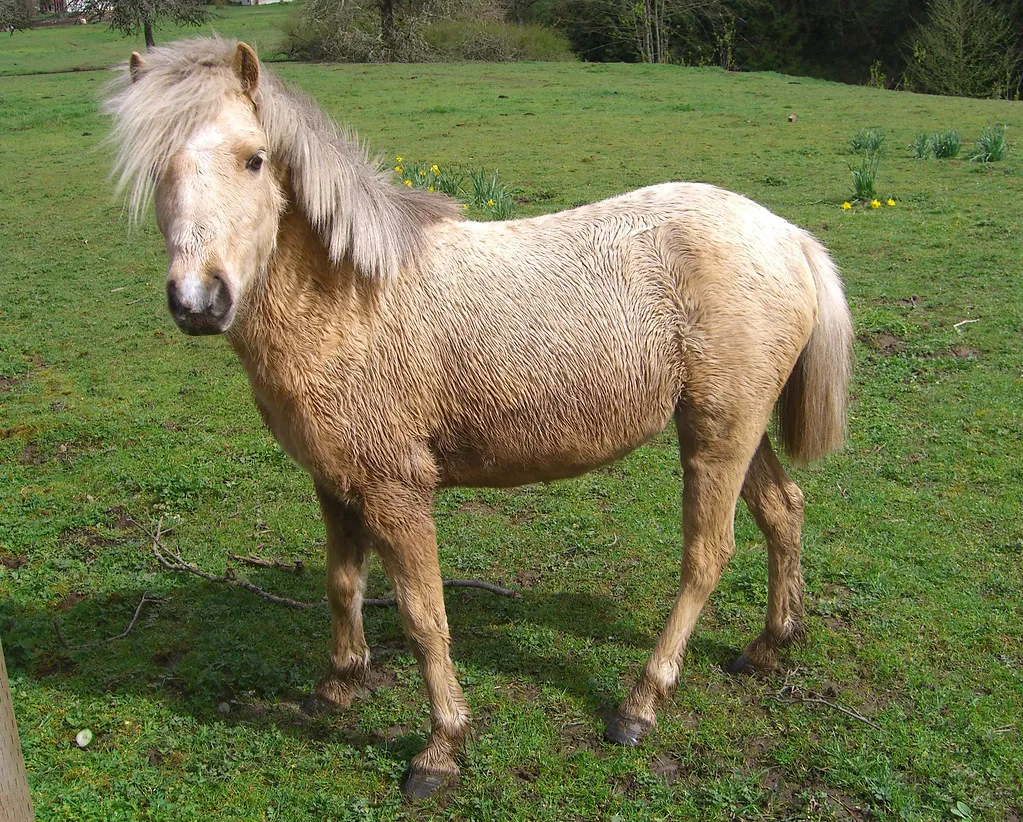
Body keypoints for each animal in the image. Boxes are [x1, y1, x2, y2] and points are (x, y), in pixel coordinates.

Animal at [104, 38, 853, 798]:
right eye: (154, 167)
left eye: (254, 158)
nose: (199, 301)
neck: (350, 300)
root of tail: (787, 235)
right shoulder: (334, 481)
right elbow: (342, 584)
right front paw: (338, 685)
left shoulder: (396, 492)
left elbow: (423, 615)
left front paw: (441, 747)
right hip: (731, 427)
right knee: (783, 510)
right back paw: (768, 646)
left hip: (717, 434)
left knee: (706, 554)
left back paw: (639, 704)